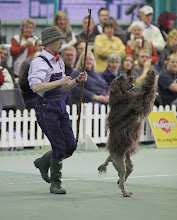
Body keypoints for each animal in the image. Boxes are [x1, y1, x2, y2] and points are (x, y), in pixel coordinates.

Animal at [98, 69, 156, 197]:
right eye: (121, 78)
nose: (132, 77)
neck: (121, 97)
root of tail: (110, 156)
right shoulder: (139, 102)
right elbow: (147, 91)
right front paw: (151, 74)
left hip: (128, 163)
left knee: (124, 175)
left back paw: (120, 182)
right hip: (120, 162)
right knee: (122, 176)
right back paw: (125, 192)